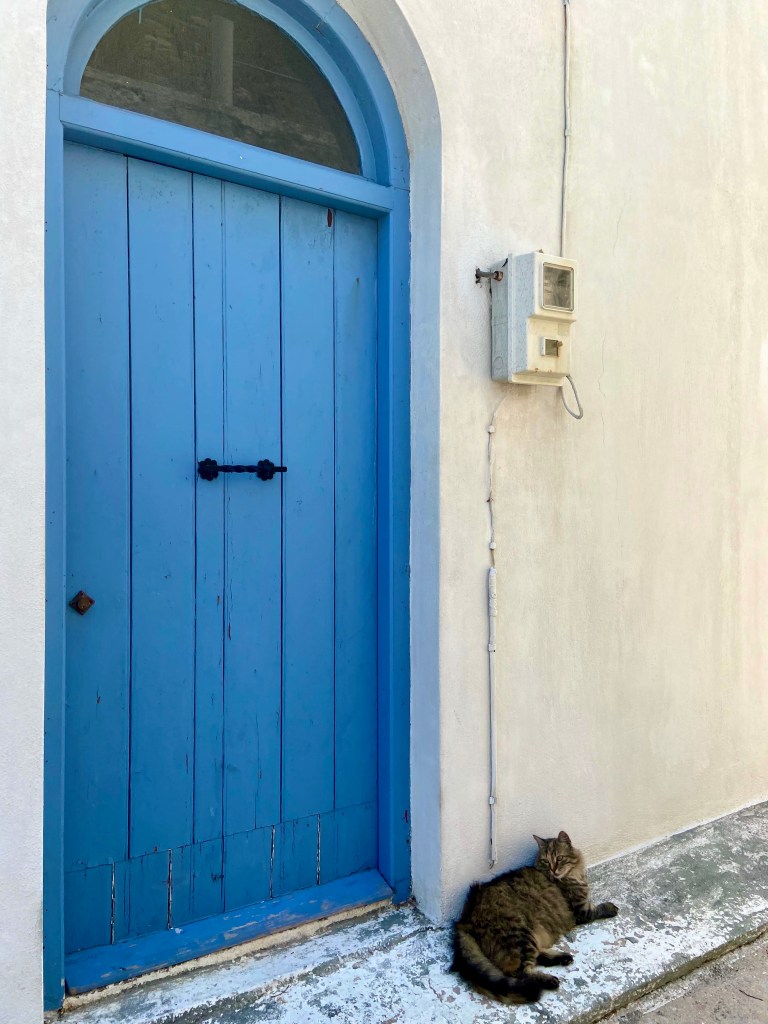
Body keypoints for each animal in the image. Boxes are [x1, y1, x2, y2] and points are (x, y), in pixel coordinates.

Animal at [451, 831, 618, 1003]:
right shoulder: (580, 910)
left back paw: (563, 958)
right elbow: (597, 909)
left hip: (529, 936)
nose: (553, 870)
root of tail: (465, 916)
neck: (573, 874)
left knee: (536, 956)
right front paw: (611, 907)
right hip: (520, 933)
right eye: (546, 861)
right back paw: (549, 981)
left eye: (559, 858)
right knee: (519, 972)